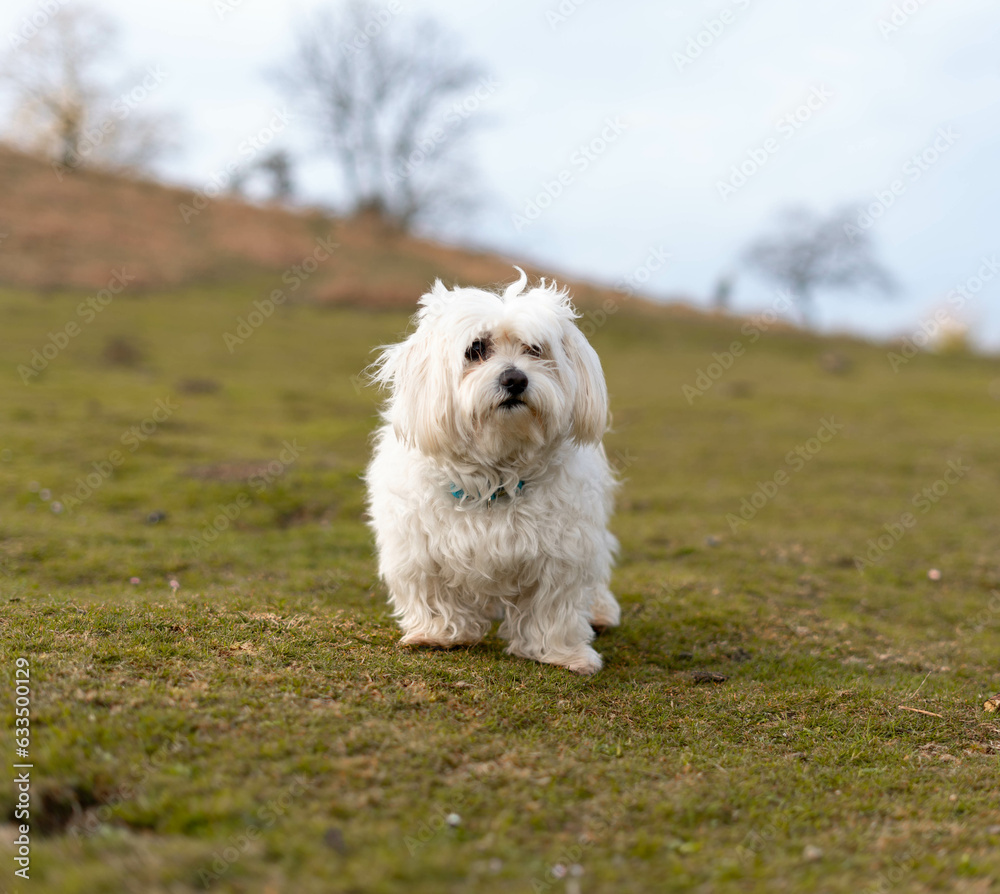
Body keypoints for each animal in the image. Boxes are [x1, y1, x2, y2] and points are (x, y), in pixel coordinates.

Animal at [368, 270, 616, 676]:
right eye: (476, 349)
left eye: (535, 349)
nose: (515, 379)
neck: (496, 472)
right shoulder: (418, 548)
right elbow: (433, 592)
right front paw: (438, 634)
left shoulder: (562, 553)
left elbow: (553, 609)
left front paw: (563, 654)